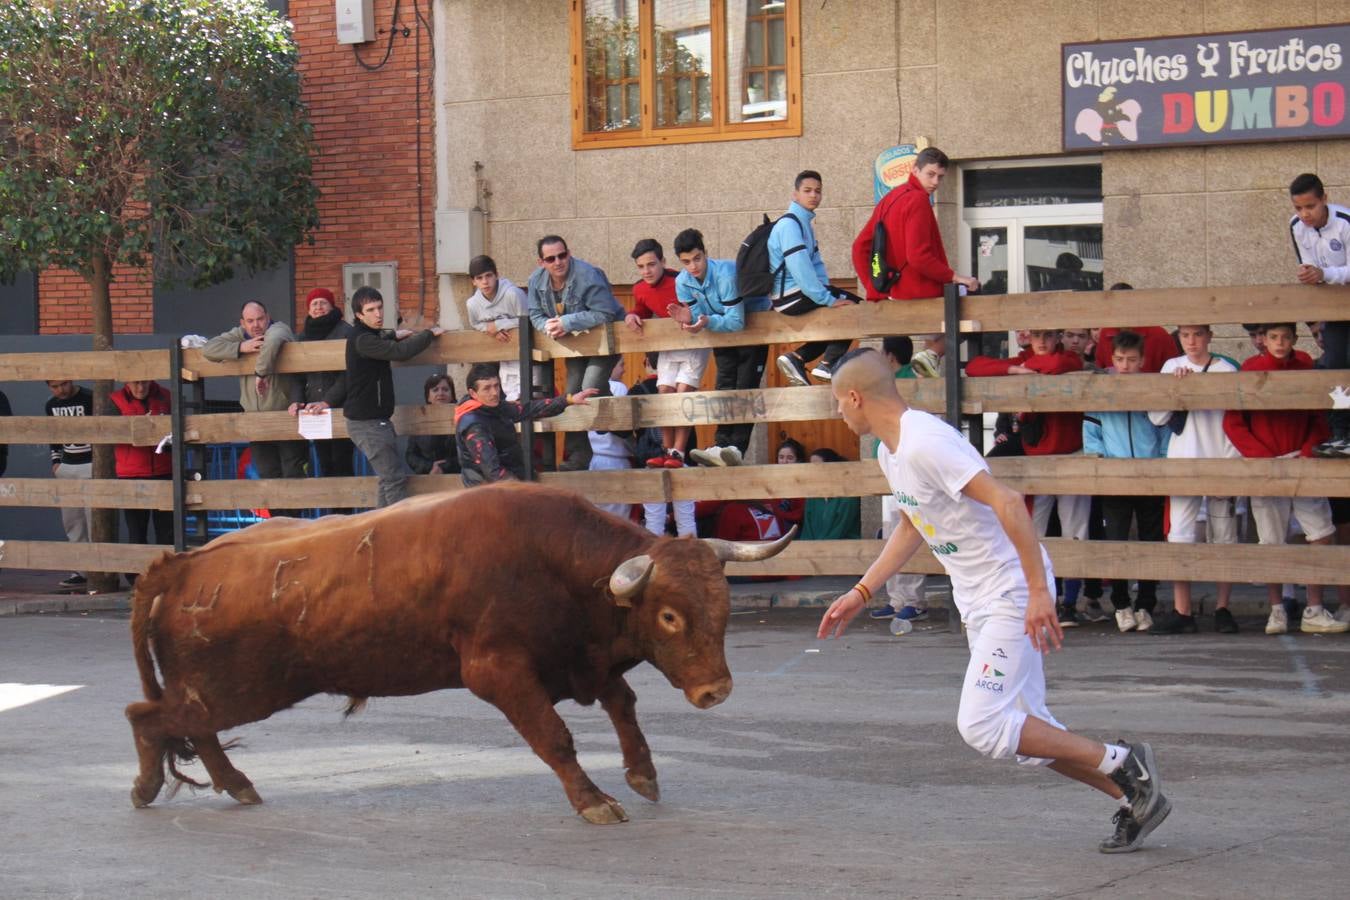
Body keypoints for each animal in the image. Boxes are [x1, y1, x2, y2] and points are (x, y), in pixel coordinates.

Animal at [125, 485, 788, 825]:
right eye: (671, 616)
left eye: (723, 606)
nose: (716, 690)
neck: (557, 563)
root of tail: (181, 564)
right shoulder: (499, 672)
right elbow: (555, 738)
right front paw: (594, 800)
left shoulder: (577, 659)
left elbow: (622, 704)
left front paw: (642, 773)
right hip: (237, 691)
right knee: (148, 717)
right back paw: (148, 786)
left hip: (219, 692)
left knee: (189, 728)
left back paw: (235, 784)